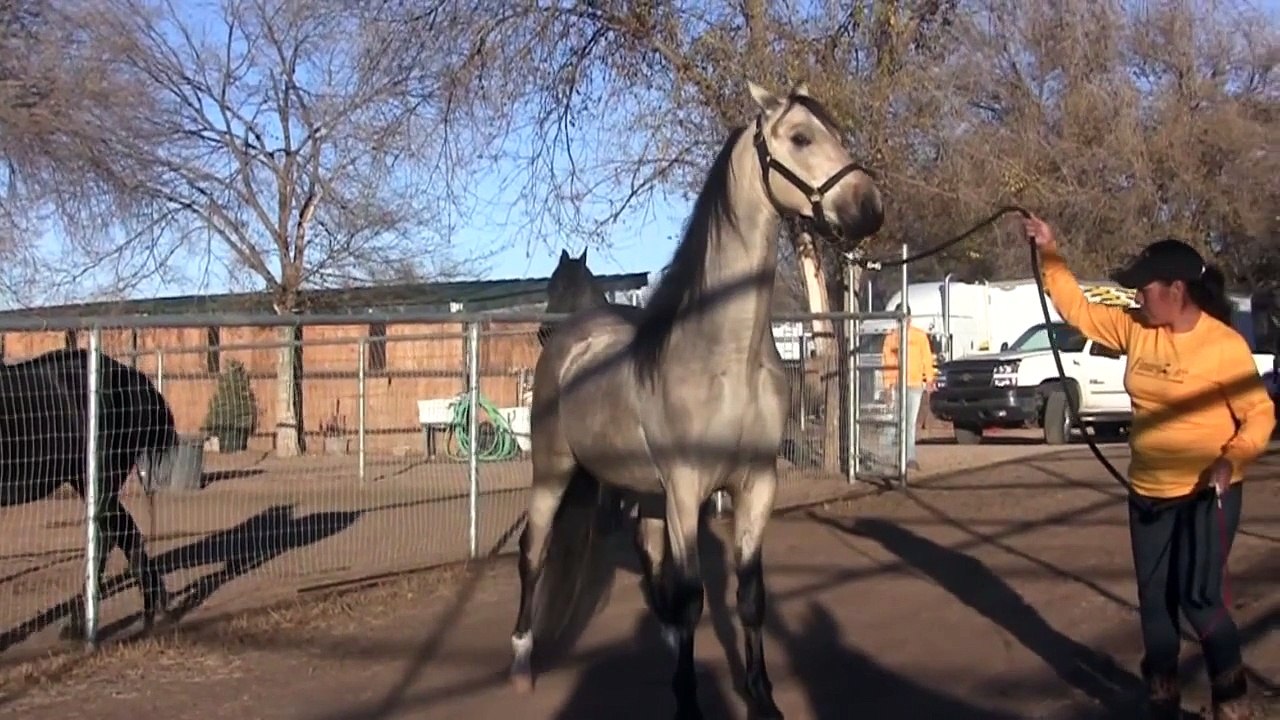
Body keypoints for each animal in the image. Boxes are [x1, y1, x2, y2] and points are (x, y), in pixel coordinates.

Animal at [1, 347, 176, 641]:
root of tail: (133, 378)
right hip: (88, 482)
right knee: (125, 532)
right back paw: (153, 606)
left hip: (98, 479)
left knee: (107, 536)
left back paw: (84, 621)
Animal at [509, 81, 884, 719]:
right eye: (800, 137)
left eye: (837, 132)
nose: (869, 207)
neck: (724, 355)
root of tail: (568, 344)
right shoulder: (687, 488)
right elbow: (692, 597)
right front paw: (688, 703)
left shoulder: (756, 485)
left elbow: (749, 596)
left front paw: (763, 698)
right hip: (553, 473)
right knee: (533, 554)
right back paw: (520, 662)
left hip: (641, 488)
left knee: (648, 556)